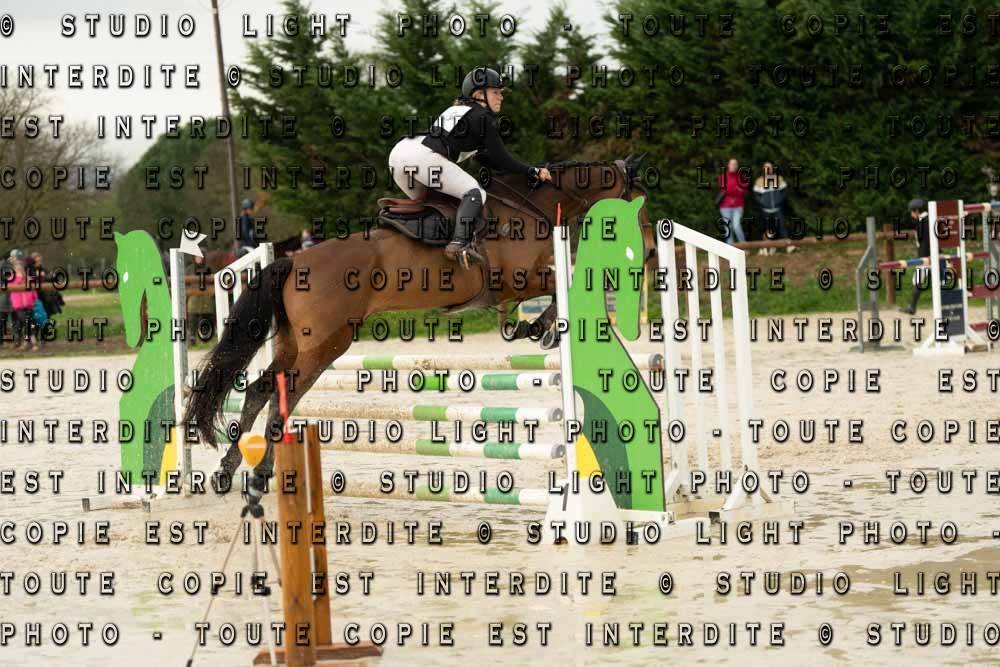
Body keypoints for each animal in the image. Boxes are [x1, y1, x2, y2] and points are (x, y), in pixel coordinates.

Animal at [183, 154, 656, 486]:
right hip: (325, 345)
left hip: (293, 342)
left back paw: (228, 468)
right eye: (639, 204)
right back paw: (260, 470)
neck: (532, 206)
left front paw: (535, 328)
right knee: (286, 395)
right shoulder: (517, 279)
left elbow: (562, 282)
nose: (652, 250)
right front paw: (538, 329)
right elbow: (563, 281)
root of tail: (292, 261)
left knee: (260, 389)